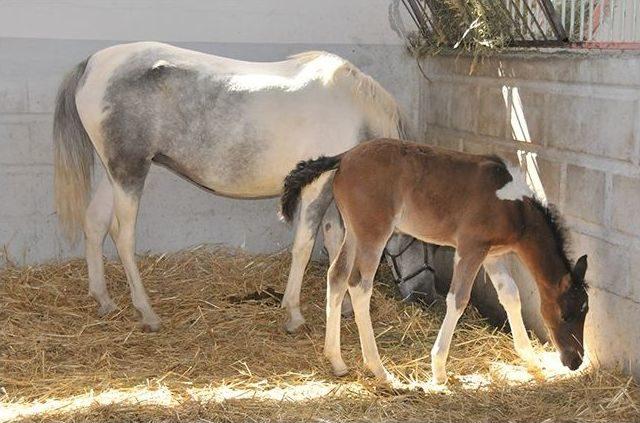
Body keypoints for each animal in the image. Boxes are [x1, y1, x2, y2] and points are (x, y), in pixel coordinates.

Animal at [56, 43, 416, 332]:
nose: (421, 295)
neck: (354, 113)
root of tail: (93, 63)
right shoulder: (317, 186)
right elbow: (304, 246)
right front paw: (294, 314)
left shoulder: (330, 194)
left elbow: (336, 244)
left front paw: (342, 306)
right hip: (129, 172)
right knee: (123, 236)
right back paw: (147, 312)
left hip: (112, 173)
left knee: (95, 224)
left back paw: (104, 300)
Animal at [282, 138, 592, 384]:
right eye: (566, 314)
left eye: (585, 312)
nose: (575, 360)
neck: (514, 208)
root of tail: (344, 156)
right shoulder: (470, 249)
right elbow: (458, 299)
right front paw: (439, 369)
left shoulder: (493, 254)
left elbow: (510, 295)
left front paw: (529, 358)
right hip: (373, 234)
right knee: (358, 285)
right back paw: (379, 369)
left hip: (354, 232)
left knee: (336, 276)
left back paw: (336, 360)